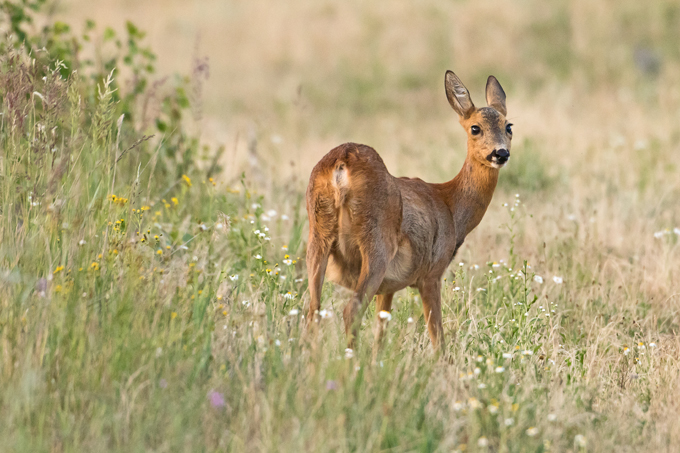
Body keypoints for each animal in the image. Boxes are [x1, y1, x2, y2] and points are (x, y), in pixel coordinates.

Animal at [305, 70, 512, 351]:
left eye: (509, 126)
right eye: (475, 128)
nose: (500, 153)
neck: (451, 206)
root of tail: (341, 163)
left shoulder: (388, 287)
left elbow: (381, 333)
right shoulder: (431, 273)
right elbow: (438, 338)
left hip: (318, 235)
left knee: (312, 309)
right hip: (377, 244)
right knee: (350, 310)